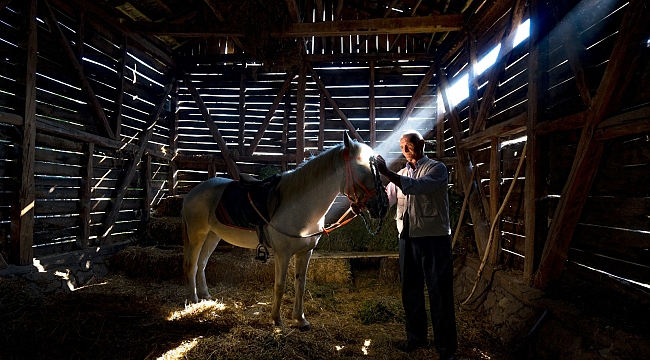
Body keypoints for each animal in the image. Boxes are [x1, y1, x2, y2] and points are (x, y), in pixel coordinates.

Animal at [180, 132, 388, 330]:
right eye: (364, 169)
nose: (383, 206)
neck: (299, 206)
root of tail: (193, 192)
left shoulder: (305, 253)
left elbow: (300, 285)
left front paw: (300, 320)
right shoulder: (283, 254)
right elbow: (280, 286)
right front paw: (277, 320)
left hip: (212, 235)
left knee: (202, 264)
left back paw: (206, 295)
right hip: (197, 235)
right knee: (192, 265)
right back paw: (194, 300)